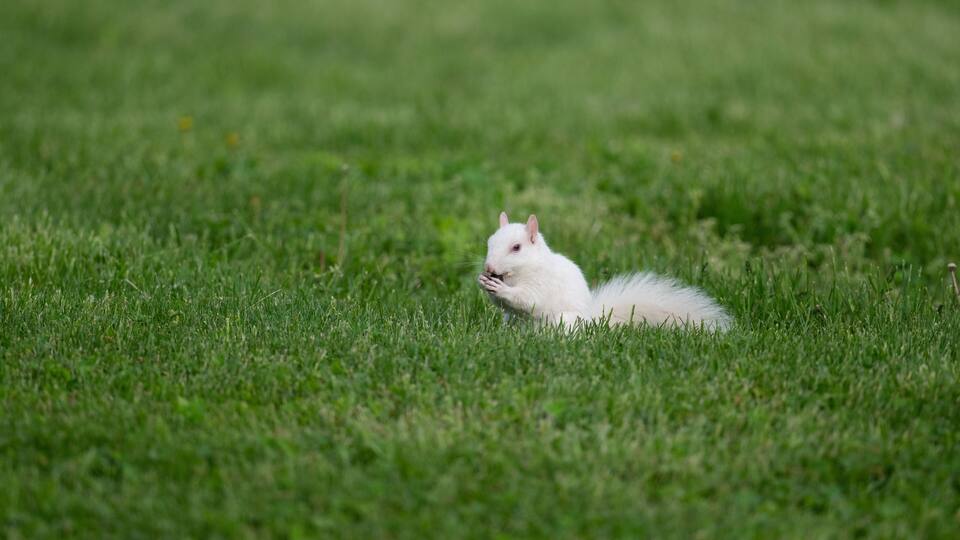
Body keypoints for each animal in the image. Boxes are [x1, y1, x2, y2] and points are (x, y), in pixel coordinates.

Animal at [477, 212, 732, 331]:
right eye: (489, 242)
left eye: (516, 247)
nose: (488, 268)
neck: (518, 275)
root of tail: (593, 322)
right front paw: (483, 282)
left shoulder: (543, 283)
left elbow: (528, 299)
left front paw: (500, 288)